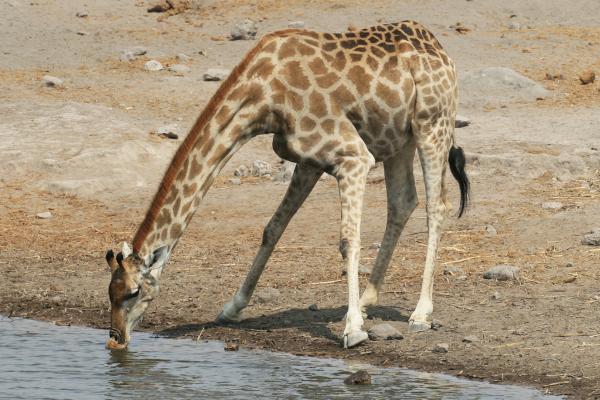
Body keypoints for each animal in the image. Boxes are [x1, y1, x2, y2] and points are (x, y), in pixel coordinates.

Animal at [104, 20, 468, 350]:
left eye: (134, 292)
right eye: (110, 292)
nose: (115, 338)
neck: (263, 96)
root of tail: (441, 50)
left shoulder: (352, 157)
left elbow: (348, 240)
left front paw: (353, 331)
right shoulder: (309, 160)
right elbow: (273, 227)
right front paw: (233, 307)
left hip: (432, 124)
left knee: (437, 206)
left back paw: (420, 313)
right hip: (396, 138)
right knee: (403, 201)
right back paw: (366, 300)